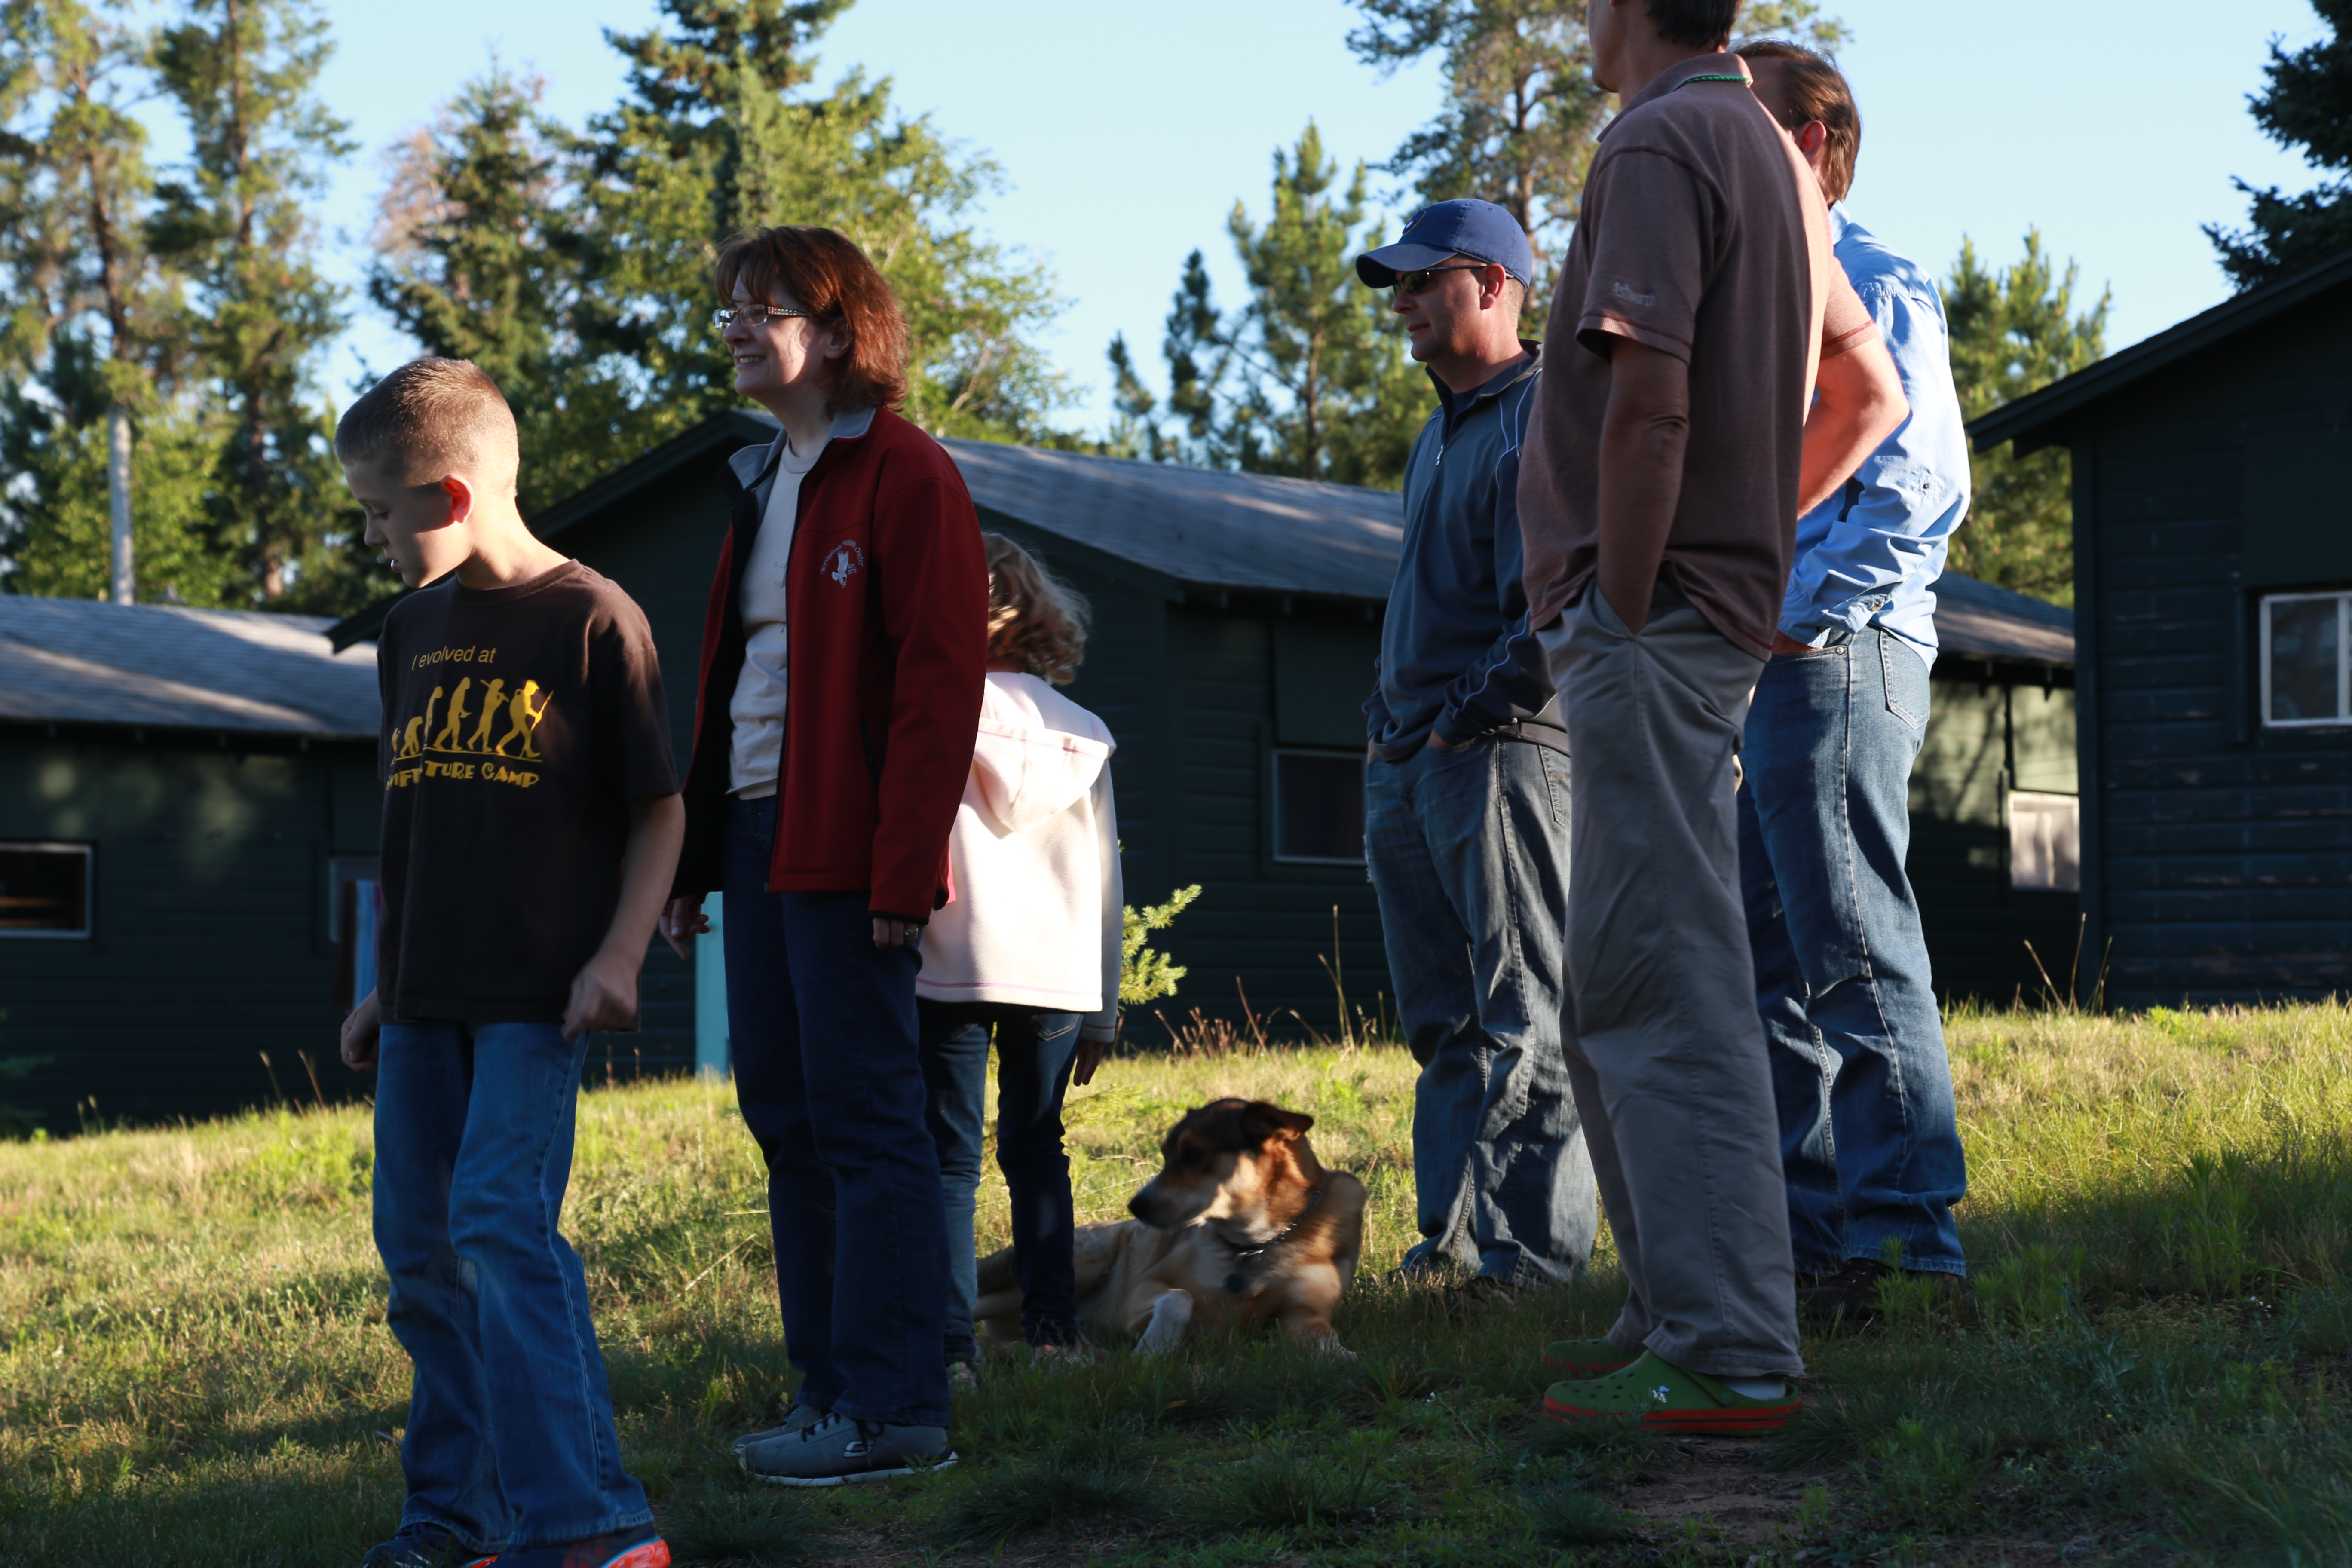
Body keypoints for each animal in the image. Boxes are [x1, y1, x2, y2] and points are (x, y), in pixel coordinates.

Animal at [972, 1098, 1366, 1357]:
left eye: (1193, 1155)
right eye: (1166, 1155)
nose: (1135, 1206)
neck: (1255, 1245)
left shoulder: (1305, 1313)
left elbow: (1324, 1340)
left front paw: (1344, 1359)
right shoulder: (1141, 1295)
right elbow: (1179, 1298)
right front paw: (1154, 1350)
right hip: (1072, 1267)